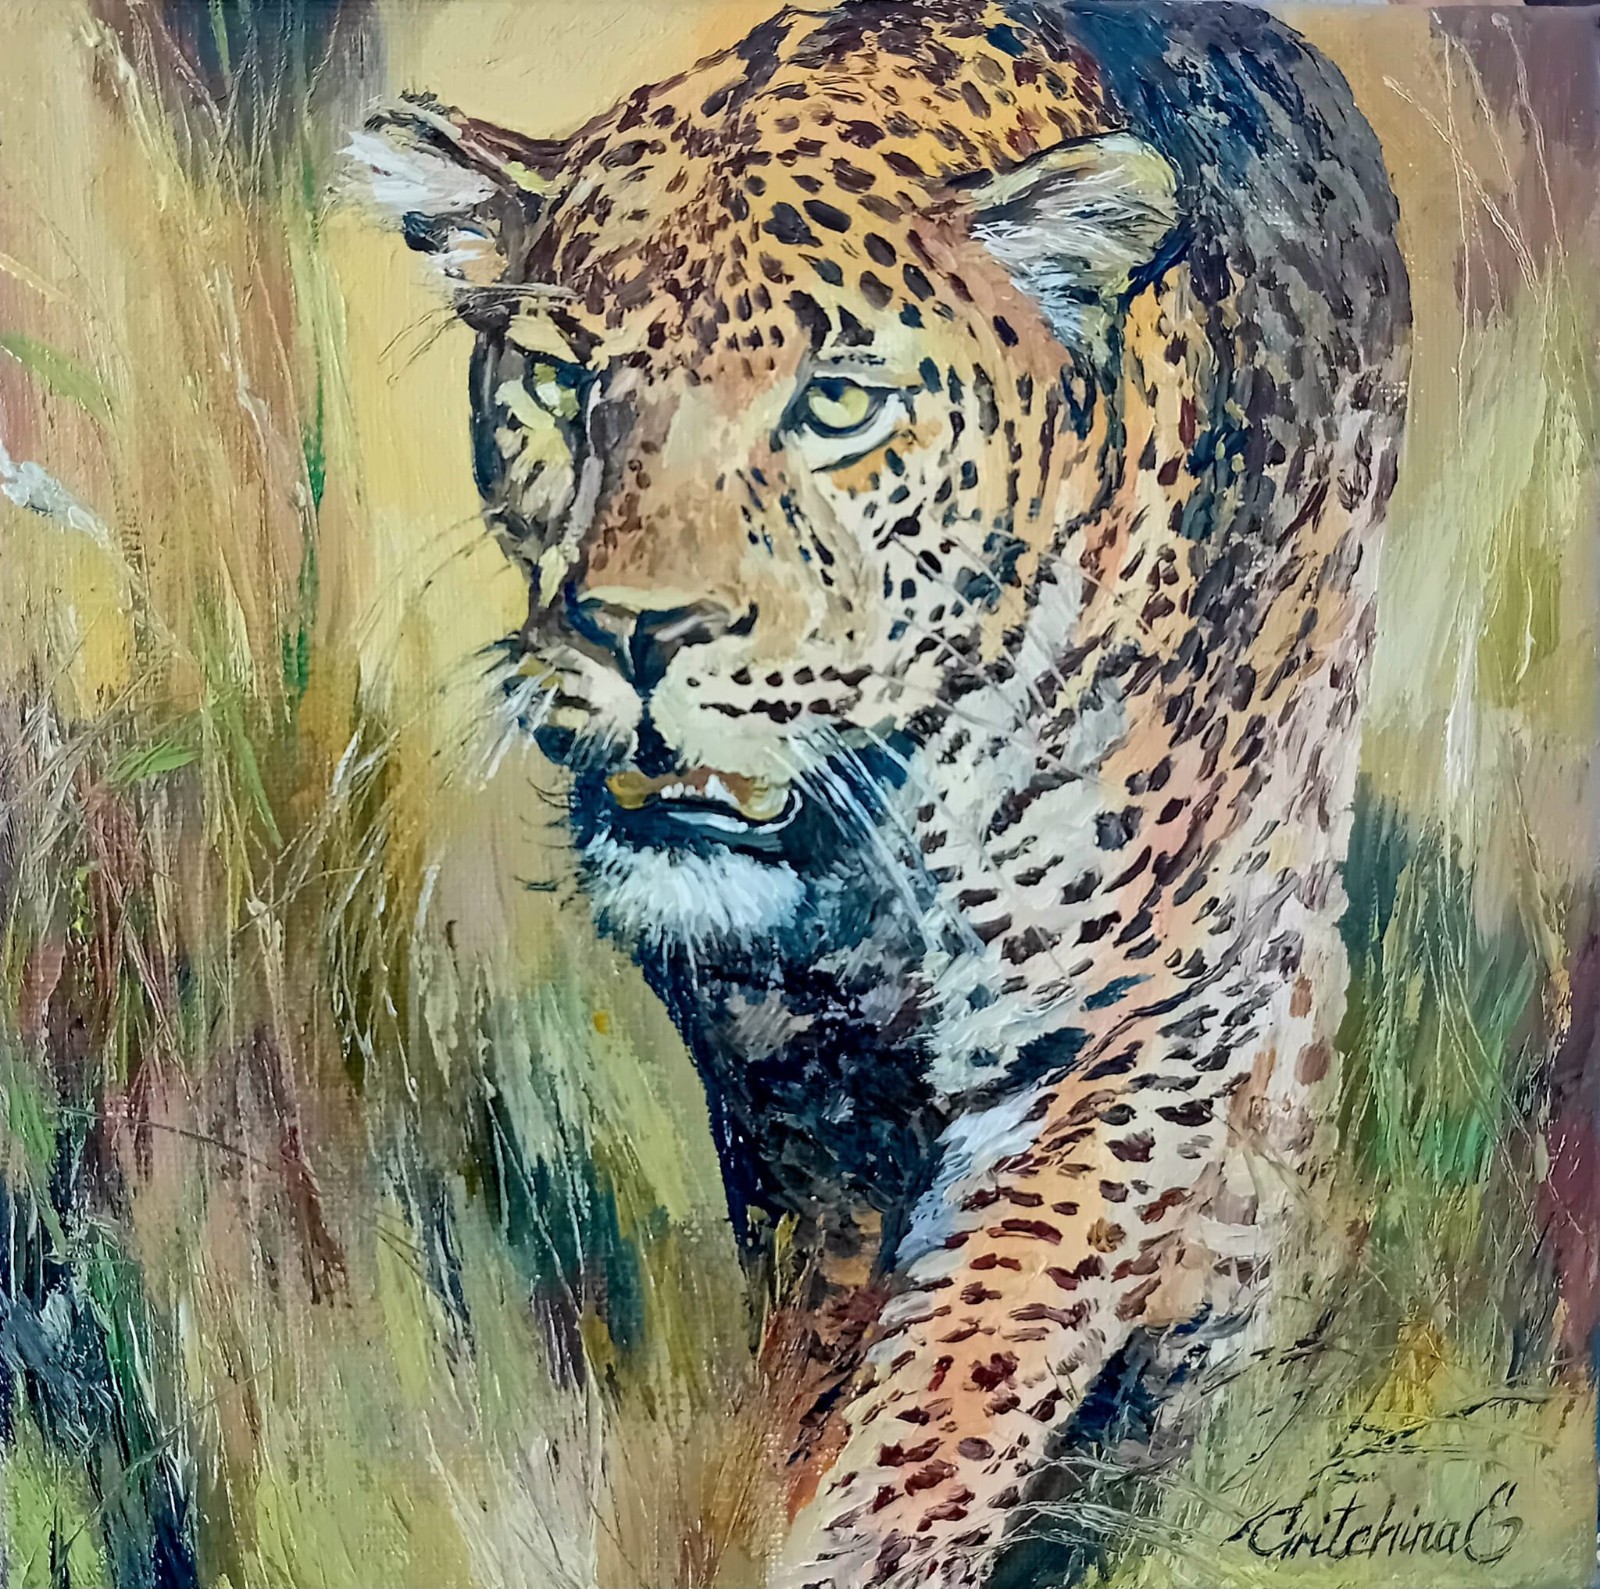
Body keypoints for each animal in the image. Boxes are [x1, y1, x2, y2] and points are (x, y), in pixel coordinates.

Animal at [351, 2, 1410, 1583]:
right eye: (557, 380)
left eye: (839, 403)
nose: (637, 633)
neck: (885, 853)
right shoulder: (788, 1073)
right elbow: (827, 1336)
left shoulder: (1115, 1034)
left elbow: (963, 1373)